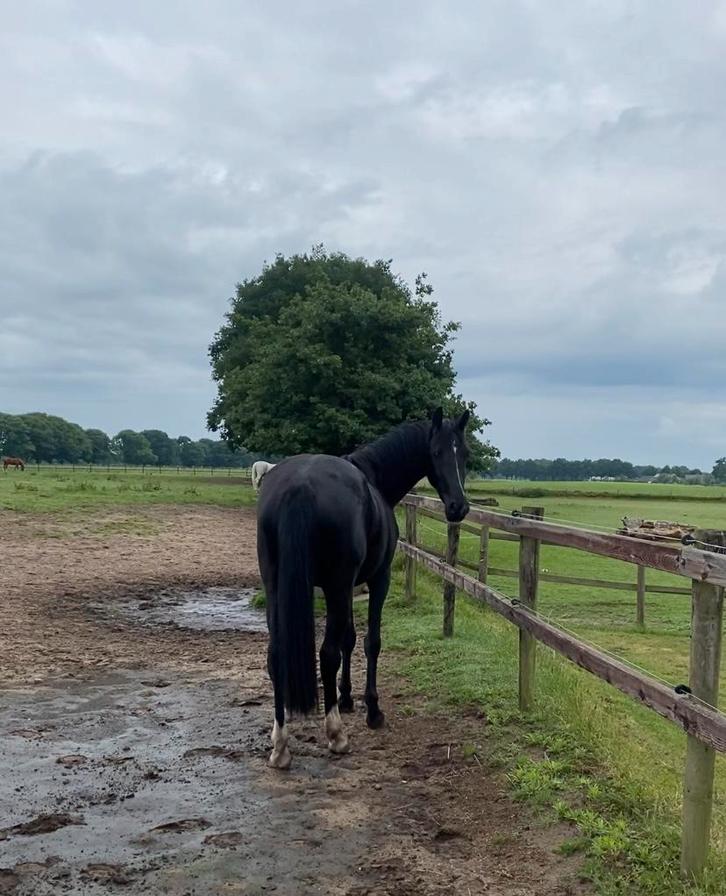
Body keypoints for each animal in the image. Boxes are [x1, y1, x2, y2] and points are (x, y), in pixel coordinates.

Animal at [256, 407, 470, 769]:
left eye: (464, 454)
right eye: (437, 452)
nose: (458, 507)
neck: (374, 479)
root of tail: (300, 486)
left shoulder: (347, 588)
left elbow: (350, 639)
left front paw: (346, 698)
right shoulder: (375, 579)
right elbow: (370, 642)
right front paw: (372, 709)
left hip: (276, 586)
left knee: (276, 656)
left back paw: (280, 744)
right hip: (336, 586)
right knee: (326, 654)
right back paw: (336, 735)